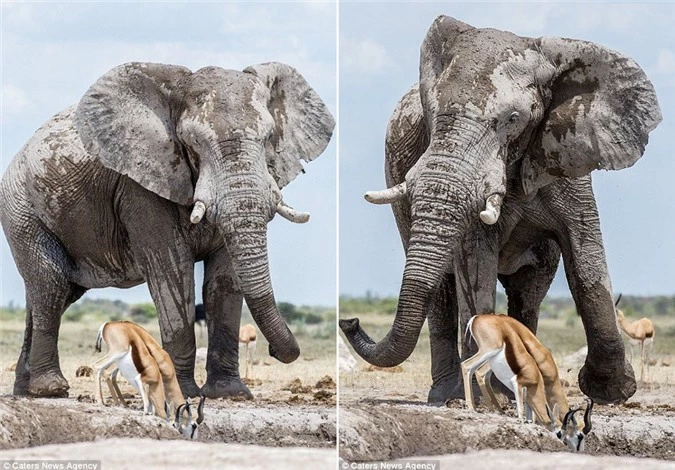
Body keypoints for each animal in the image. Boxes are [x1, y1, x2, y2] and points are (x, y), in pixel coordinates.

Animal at [0, 60, 336, 398]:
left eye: (268, 139)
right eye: (193, 143)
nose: (274, 351)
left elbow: (224, 281)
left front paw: (230, 394)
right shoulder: (140, 187)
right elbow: (173, 269)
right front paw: (185, 394)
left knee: (53, 295)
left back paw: (25, 391)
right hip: (21, 209)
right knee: (51, 287)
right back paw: (51, 389)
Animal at [340, 16, 664, 406]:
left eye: (513, 118)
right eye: (432, 115)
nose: (349, 321)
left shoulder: (568, 154)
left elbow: (585, 254)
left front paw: (610, 393)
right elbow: (476, 263)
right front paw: (482, 397)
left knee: (530, 290)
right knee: (443, 291)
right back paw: (449, 396)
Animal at [462, 314, 596, 450]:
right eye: (580, 435)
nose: (579, 450)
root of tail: (477, 317)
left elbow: (530, 409)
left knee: (477, 372)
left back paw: (491, 409)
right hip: (489, 354)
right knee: (472, 369)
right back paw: (477, 408)